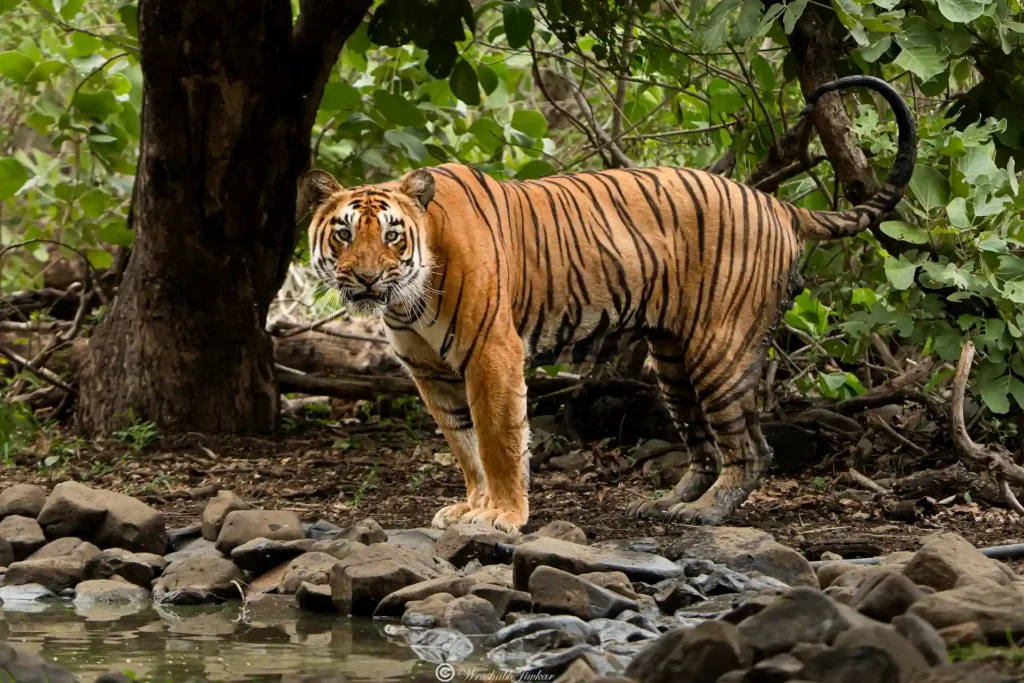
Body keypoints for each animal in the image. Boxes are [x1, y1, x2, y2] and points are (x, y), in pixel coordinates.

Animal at [299, 76, 917, 532]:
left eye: (393, 236)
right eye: (344, 234)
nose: (366, 278)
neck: (408, 299)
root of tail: (776, 202)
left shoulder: (492, 353)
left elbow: (499, 441)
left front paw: (503, 516)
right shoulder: (430, 371)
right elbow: (464, 445)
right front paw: (471, 506)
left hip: (720, 348)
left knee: (751, 447)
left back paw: (704, 513)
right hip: (672, 359)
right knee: (703, 445)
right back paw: (665, 503)